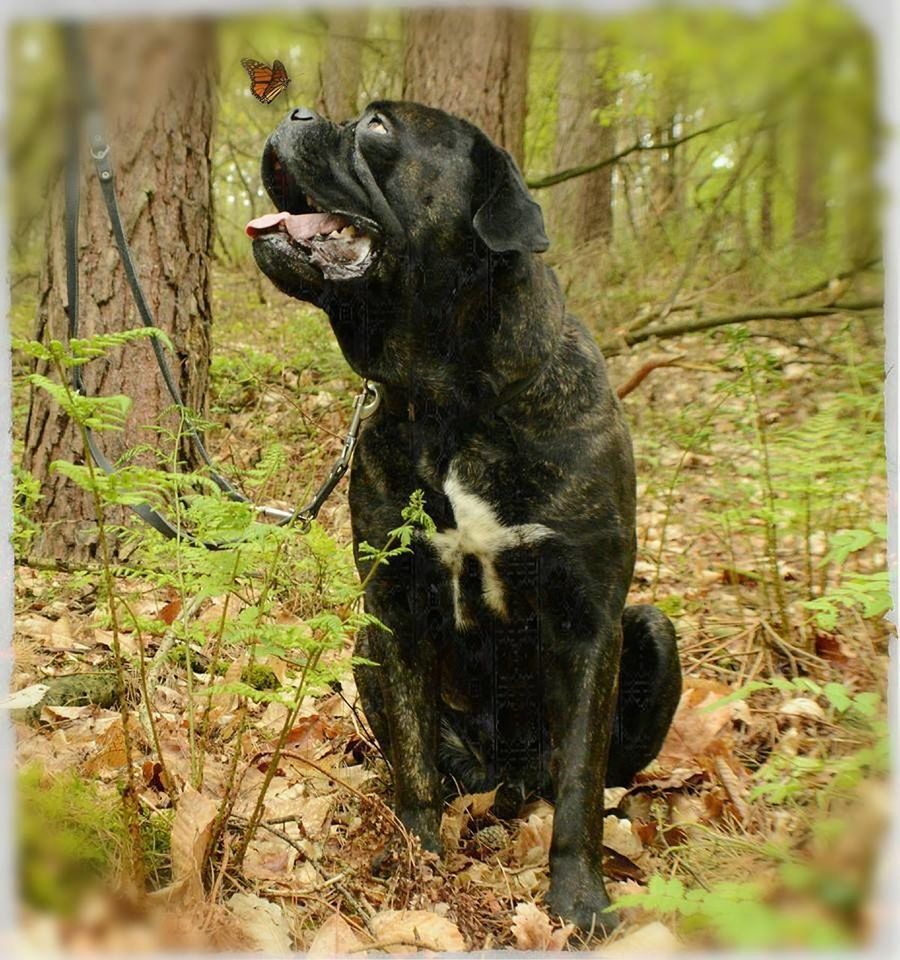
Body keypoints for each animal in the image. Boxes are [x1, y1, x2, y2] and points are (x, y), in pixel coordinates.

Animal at [246, 101, 684, 932]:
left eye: (378, 127)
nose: (296, 108)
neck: (450, 399)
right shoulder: (394, 603)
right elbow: (413, 758)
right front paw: (414, 860)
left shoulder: (590, 621)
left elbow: (580, 786)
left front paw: (579, 899)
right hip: (366, 645)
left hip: (652, 632)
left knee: (586, 774)